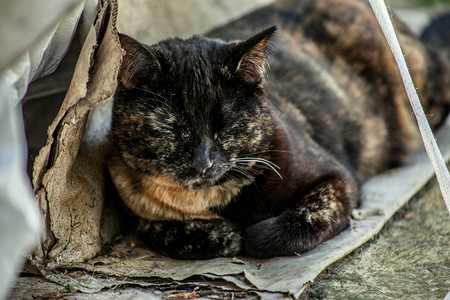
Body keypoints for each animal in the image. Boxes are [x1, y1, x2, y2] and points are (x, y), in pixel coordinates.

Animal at [107, 0, 448, 258]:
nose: (203, 162)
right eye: (172, 127)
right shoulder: (135, 208)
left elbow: (298, 222)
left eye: (226, 124)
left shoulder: (338, 179)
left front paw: (251, 235)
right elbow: (164, 232)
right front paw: (224, 234)